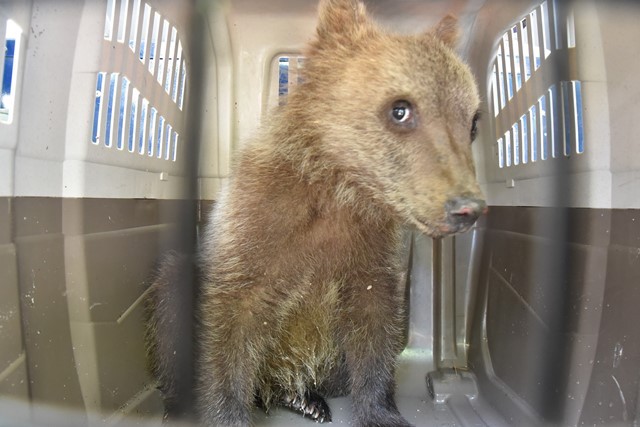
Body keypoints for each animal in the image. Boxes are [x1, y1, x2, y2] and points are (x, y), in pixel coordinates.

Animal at [146, 0, 486, 426]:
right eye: (401, 109)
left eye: (473, 122)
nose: (467, 208)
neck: (341, 190)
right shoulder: (255, 229)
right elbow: (230, 325)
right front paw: (225, 413)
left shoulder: (368, 251)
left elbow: (375, 328)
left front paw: (382, 411)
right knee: (172, 288)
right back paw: (179, 401)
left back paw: (306, 398)